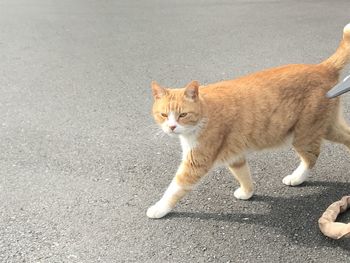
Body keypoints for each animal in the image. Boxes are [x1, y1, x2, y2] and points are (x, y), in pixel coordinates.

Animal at [146, 24, 350, 220]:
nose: (172, 127)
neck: (204, 113)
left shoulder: (196, 163)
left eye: (183, 115)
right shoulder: (234, 155)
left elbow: (175, 188)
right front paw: (247, 192)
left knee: (311, 157)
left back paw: (297, 177)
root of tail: (322, 67)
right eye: (163, 115)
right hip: (327, 127)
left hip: (304, 135)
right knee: (346, 136)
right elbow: (242, 173)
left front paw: (159, 209)